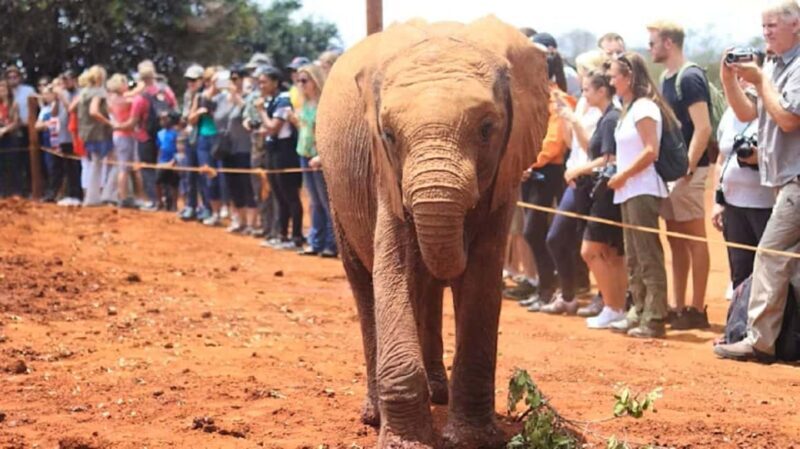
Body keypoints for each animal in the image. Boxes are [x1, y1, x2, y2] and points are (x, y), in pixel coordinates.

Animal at [316, 16, 549, 448]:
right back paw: (376, 415)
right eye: (389, 135)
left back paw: (437, 393)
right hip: (334, 191)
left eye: (487, 129)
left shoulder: (505, 176)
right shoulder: (384, 175)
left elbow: (481, 279)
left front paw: (472, 439)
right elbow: (393, 270)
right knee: (366, 283)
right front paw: (407, 442)